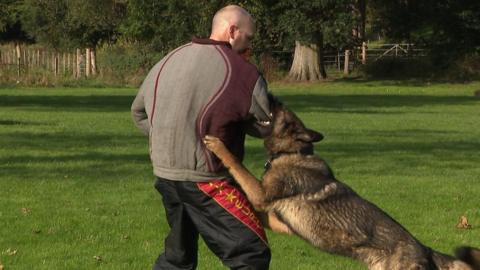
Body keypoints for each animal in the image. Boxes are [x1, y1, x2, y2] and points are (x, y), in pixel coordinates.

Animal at [203, 95, 480, 270]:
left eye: (282, 111)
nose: (273, 96)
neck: (292, 152)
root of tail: (426, 250)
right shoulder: (279, 222)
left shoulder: (261, 194)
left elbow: (238, 167)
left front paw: (219, 146)